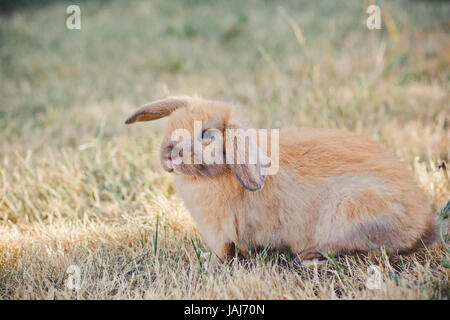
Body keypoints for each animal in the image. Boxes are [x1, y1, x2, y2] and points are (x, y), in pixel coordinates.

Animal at [124, 96, 440, 262]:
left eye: (206, 135)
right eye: (171, 124)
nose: (168, 155)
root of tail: (424, 223)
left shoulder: (222, 234)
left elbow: (224, 252)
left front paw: (208, 261)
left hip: (350, 210)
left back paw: (308, 258)